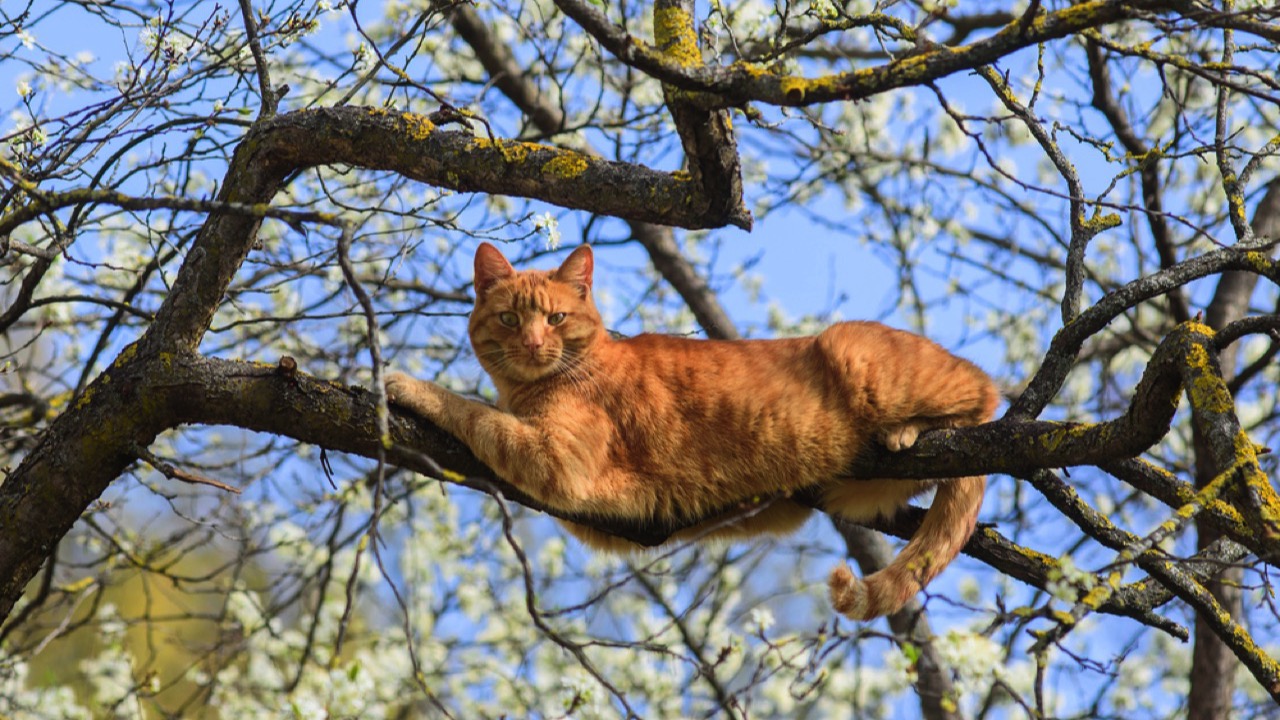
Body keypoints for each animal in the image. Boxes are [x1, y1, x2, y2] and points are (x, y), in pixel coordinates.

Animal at [381, 240, 998, 617]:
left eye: (555, 318)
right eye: (510, 319)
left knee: (985, 391)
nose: (533, 344)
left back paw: (910, 430)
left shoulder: (558, 461)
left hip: (854, 351)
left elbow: (474, 411)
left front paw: (405, 383)